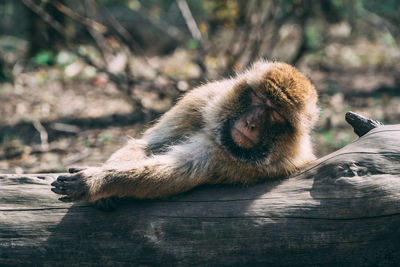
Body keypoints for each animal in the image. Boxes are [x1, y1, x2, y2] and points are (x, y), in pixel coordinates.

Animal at [50, 60, 318, 203]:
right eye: (257, 98)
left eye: (276, 115)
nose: (251, 123)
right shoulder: (202, 99)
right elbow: (147, 144)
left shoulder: (247, 163)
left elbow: (176, 171)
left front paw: (98, 182)